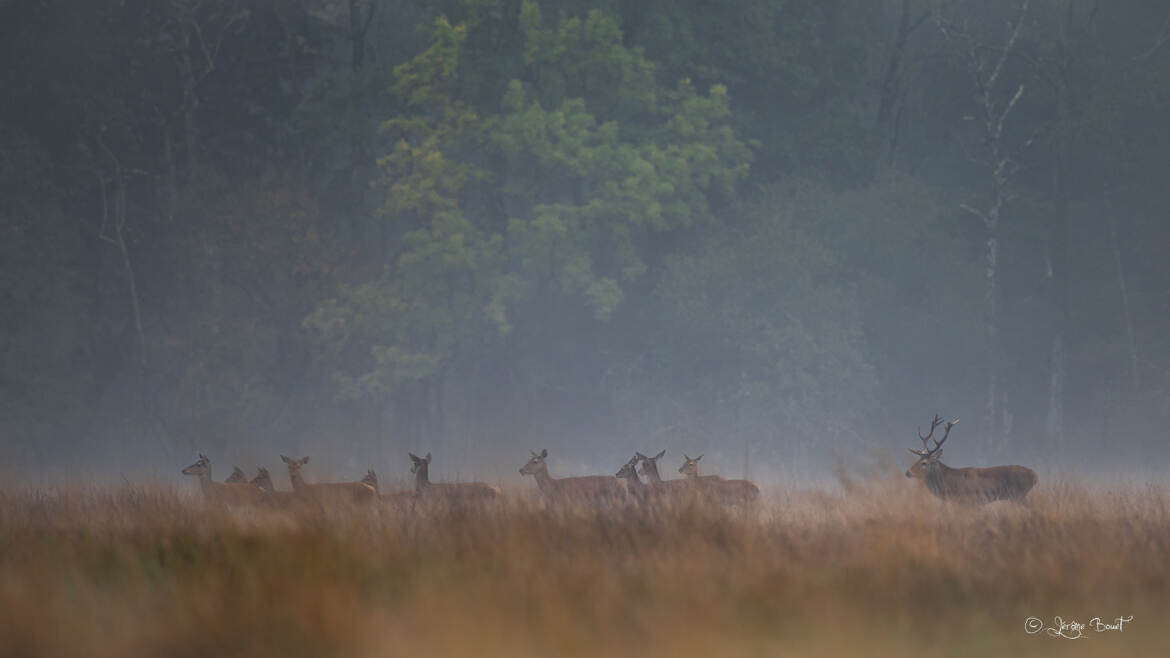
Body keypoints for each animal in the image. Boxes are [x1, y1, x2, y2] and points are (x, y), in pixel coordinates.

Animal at [903, 414, 1034, 501]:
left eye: (924, 463)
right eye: (918, 460)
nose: (907, 472)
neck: (949, 485)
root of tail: (1035, 476)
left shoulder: (968, 501)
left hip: (1018, 495)